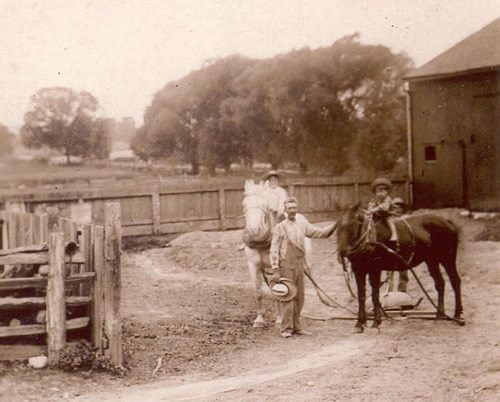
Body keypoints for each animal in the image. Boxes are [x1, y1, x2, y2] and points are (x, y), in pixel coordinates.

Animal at [241, 181, 308, 328]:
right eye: (244, 205)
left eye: (264, 205)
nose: (254, 230)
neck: (263, 243)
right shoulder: (253, 266)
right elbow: (258, 292)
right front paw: (259, 320)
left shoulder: (276, 267)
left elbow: (278, 293)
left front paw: (279, 319)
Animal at [338, 204, 462, 332]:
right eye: (338, 226)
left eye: (354, 224)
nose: (342, 251)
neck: (368, 237)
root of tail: (447, 221)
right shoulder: (358, 269)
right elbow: (361, 295)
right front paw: (360, 323)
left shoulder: (375, 269)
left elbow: (375, 295)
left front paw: (376, 322)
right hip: (432, 260)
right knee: (440, 283)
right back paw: (439, 315)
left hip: (447, 259)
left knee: (455, 281)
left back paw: (457, 315)